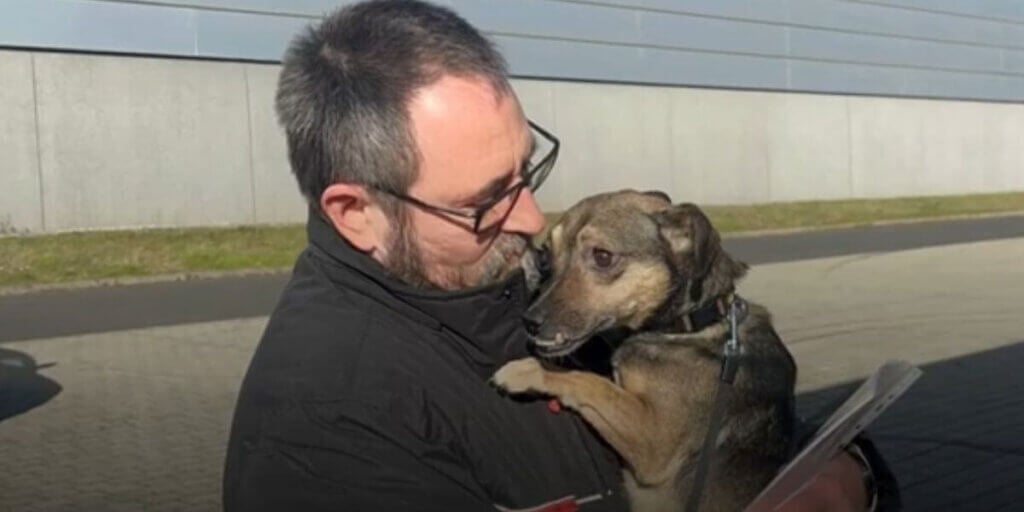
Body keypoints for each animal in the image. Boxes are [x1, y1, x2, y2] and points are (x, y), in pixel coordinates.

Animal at [491, 191, 794, 512]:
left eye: (602, 256)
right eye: (547, 256)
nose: (529, 322)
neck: (690, 326)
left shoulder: (653, 443)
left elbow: (591, 383)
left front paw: (526, 369)